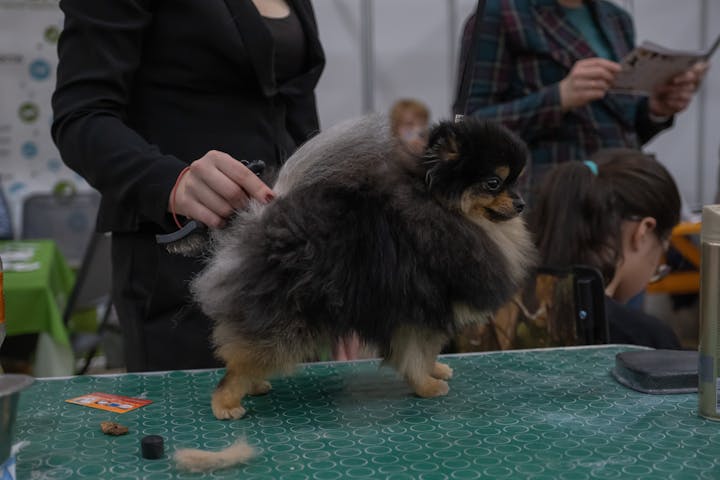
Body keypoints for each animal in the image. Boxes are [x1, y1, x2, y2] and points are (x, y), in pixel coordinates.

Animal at [190, 114, 536, 422]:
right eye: (494, 183)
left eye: (517, 180)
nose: (521, 203)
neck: (445, 210)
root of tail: (263, 218)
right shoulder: (418, 308)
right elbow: (416, 353)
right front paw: (426, 385)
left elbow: (428, 352)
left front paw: (436, 370)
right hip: (286, 318)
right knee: (241, 363)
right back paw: (226, 403)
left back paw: (254, 385)